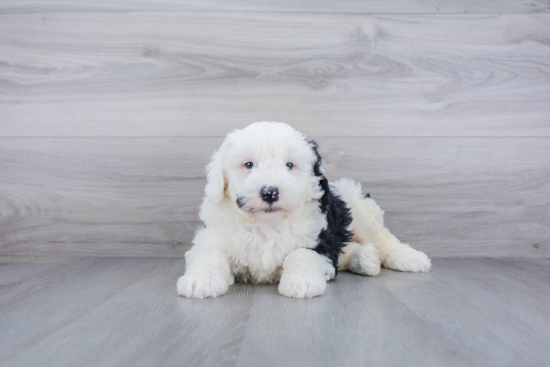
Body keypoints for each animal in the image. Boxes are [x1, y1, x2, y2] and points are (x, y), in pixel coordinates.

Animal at [179, 122, 434, 300]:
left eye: (289, 165)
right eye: (248, 164)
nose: (270, 192)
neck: (266, 224)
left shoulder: (320, 241)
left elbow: (301, 253)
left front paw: (301, 282)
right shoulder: (212, 236)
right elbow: (208, 253)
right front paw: (200, 281)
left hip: (357, 207)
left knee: (383, 239)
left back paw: (410, 258)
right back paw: (365, 260)